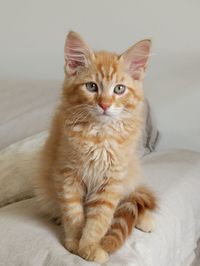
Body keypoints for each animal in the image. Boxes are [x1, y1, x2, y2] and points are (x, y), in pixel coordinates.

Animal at [34, 31, 156, 264]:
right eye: (91, 86)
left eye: (119, 89)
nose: (105, 104)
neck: (99, 135)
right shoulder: (67, 175)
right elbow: (73, 214)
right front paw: (74, 243)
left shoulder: (111, 181)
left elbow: (99, 219)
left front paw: (89, 247)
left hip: (130, 176)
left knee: (131, 198)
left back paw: (145, 220)